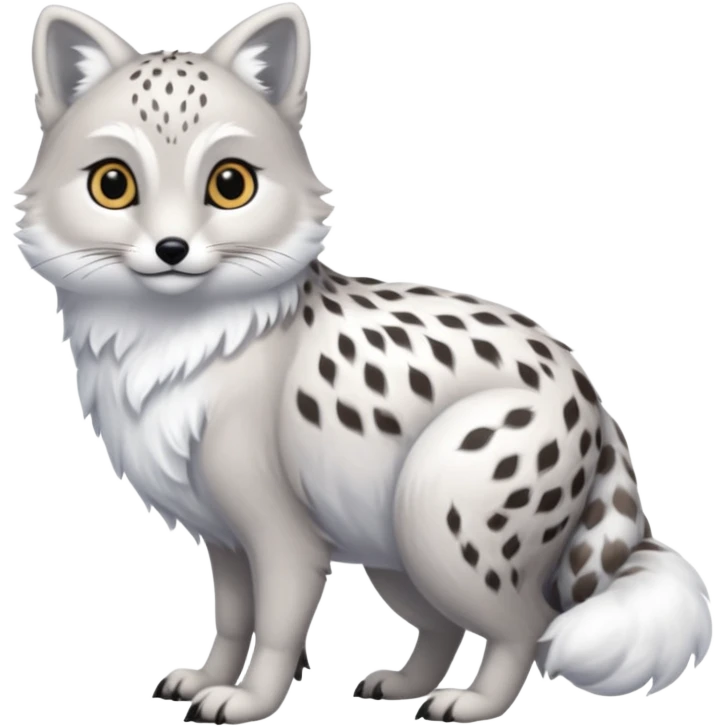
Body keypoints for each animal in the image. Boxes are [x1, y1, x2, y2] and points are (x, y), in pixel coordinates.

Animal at [14, 3, 713, 725]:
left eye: (230, 184)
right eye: (113, 184)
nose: (172, 249)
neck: (172, 341)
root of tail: (589, 391)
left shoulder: (283, 536)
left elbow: (276, 628)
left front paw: (250, 700)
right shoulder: (224, 537)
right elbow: (232, 622)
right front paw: (207, 678)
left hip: (434, 521)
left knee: (528, 624)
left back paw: (472, 702)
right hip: (396, 555)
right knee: (444, 626)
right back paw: (406, 685)